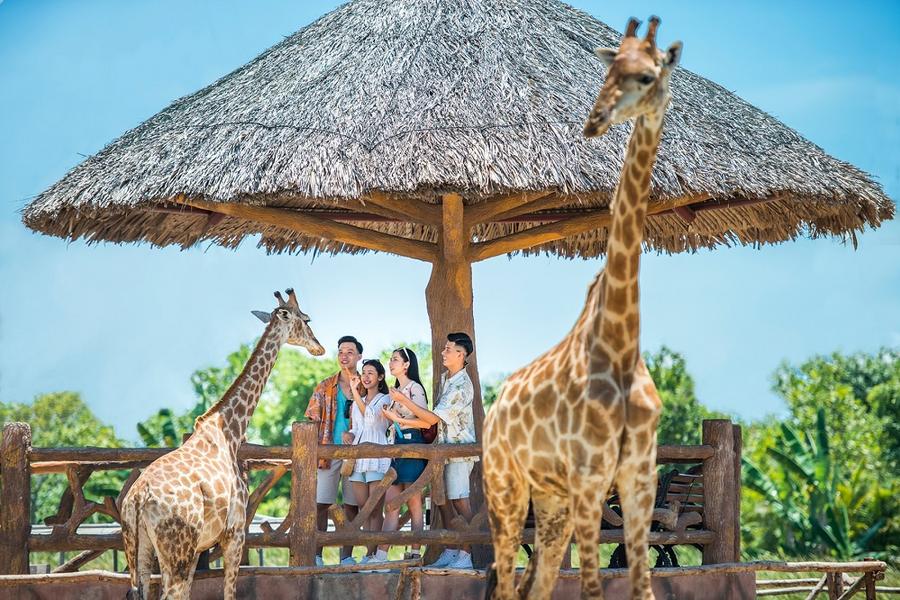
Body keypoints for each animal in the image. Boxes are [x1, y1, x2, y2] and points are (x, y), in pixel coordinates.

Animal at [121, 288, 326, 596]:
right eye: (306, 318)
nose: (319, 347)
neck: (229, 432)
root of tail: (137, 500)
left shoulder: (199, 548)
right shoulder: (235, 534)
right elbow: (229, 591)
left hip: (138, 550)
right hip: (176, 550)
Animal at [486, 16, 684, 600]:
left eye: (646, 75)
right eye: (608, 70)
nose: (594, 120)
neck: (619, 347)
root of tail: (492, 412)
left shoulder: (638, 479)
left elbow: (642, 585)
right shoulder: (591, 476)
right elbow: (595, 587)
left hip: (550, 502)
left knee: (537, 582)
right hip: (506, 487)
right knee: (506, 581)